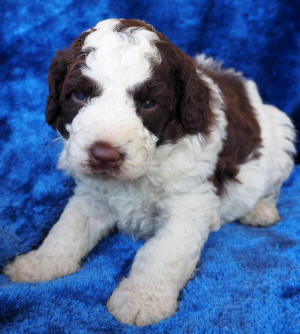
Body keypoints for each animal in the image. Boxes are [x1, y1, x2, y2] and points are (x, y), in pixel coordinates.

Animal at [4, 18, 296, 326]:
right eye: (80, 95)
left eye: (148, 103)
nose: (104, 155)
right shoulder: (92, 193)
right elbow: (67, 228)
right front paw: (39, 264)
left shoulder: (190, 201)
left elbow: (163, 252)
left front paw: (142, 299)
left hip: (282, 133)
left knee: (272, 186)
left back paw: (261, 211)